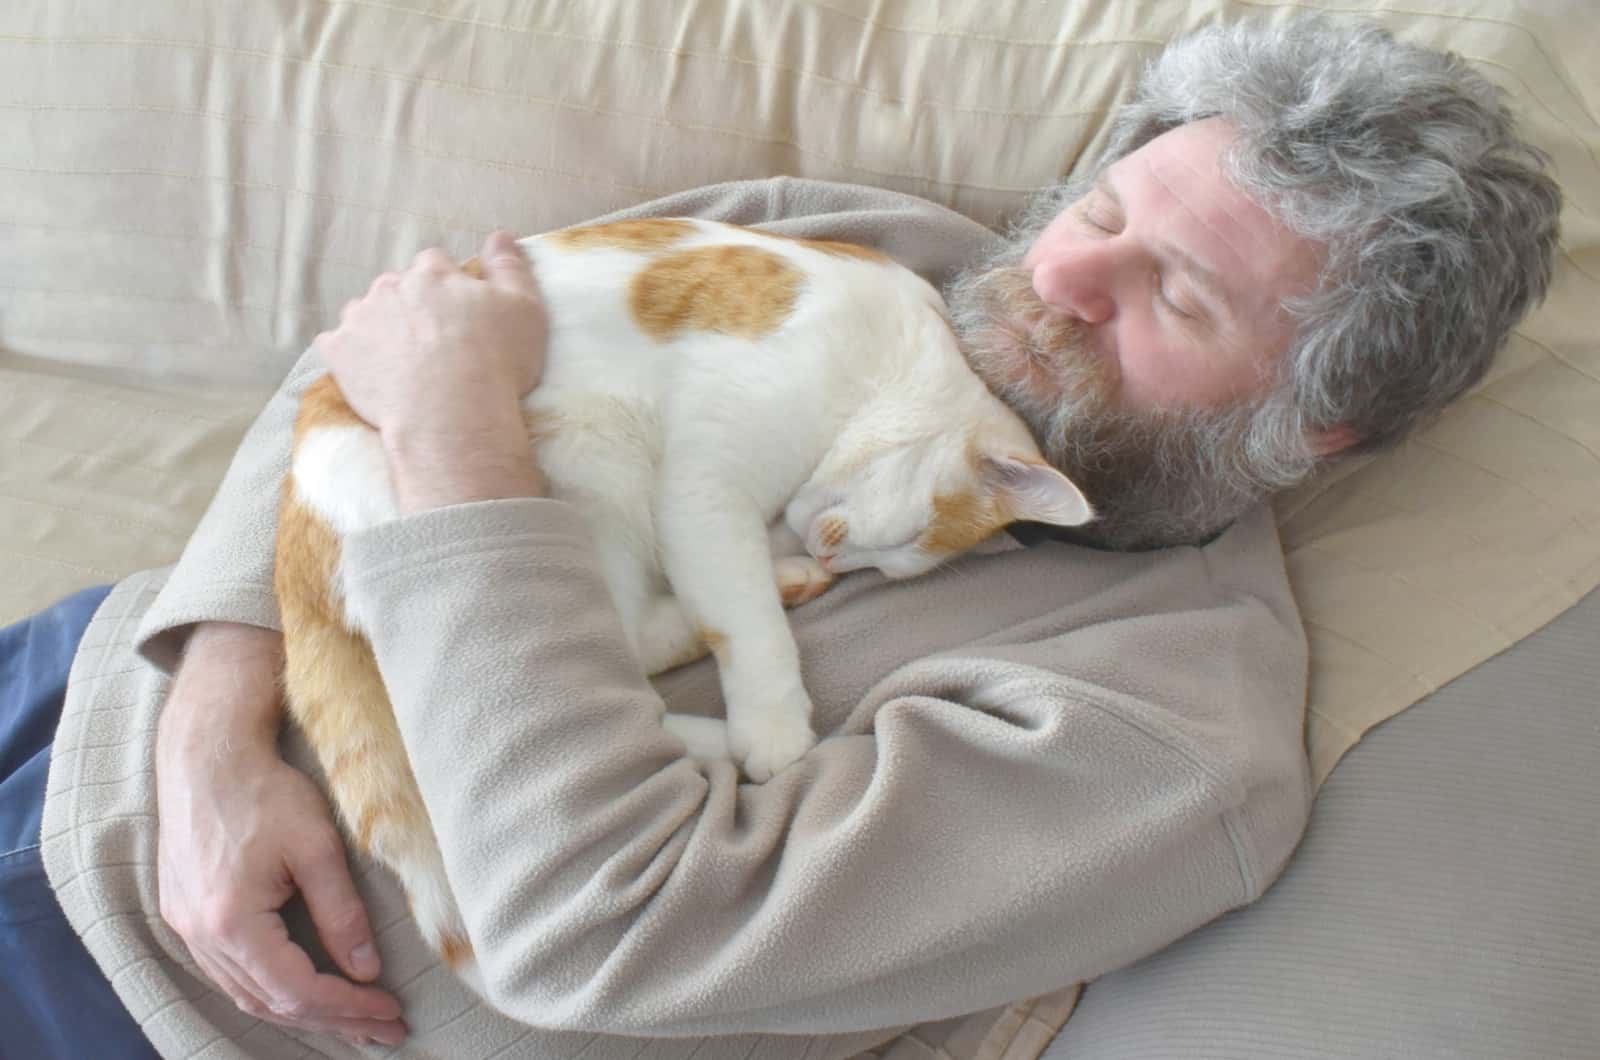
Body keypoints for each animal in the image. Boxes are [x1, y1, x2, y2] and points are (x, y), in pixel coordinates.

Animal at [278, 217, 1100, 999]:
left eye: (890, 565)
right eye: (905, 540)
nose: (840, 561)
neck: (892, 360)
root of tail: (297, 541)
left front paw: (789, 569)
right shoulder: (703, 485)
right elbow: (744, 617)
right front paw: (773, 725)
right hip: (597, 461)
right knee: (601, 656)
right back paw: (733, 713)